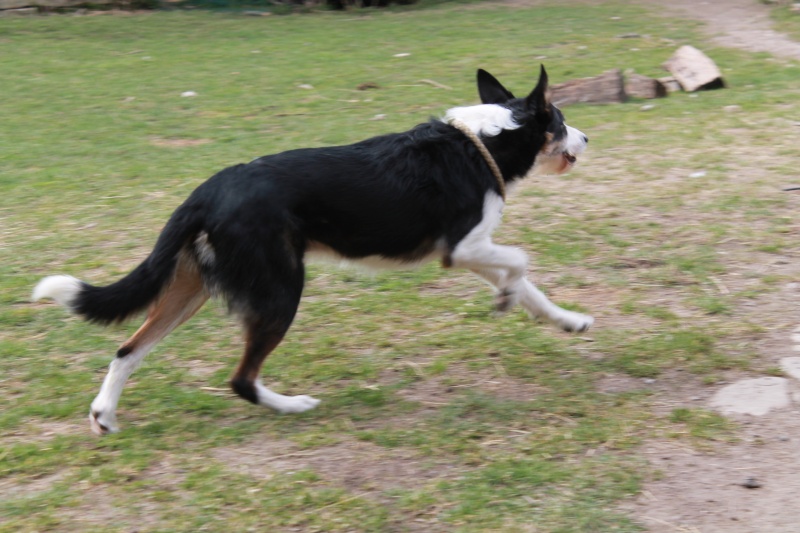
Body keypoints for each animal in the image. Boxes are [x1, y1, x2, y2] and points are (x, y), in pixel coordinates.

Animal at [31, 66, 592, 434]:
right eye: (561, 122)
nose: (587, 138)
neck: (483, 143)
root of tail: (208, 191)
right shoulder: (461, 246)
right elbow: (521, 262)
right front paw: (508, 298)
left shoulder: (474, 250)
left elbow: (528, 285)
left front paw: (566, 320)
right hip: (280, 290)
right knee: (240, 379)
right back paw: (293, 406)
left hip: (190, 290)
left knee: (127, 349)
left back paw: (104, 414)